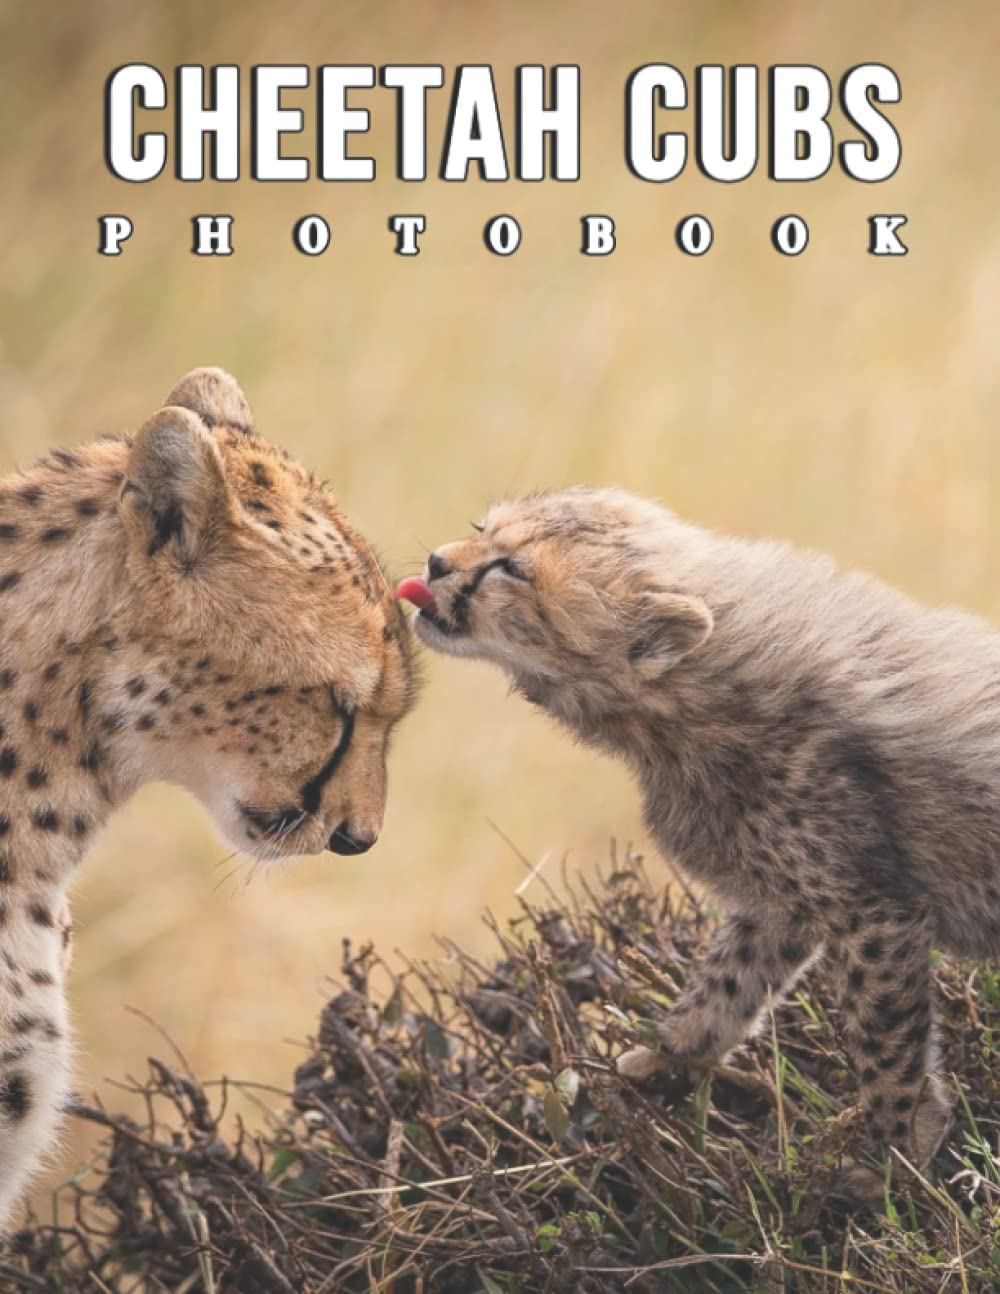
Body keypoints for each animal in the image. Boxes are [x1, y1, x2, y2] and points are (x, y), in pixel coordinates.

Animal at [399, 485, 1000, 1196]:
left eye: (511, 570)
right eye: (480, 528)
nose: (435, 563)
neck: (692, 697)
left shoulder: (874, 910)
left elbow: (885, 1042)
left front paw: (893, 1153)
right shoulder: (782, 903)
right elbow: (725, 987)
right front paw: (666, 1059)